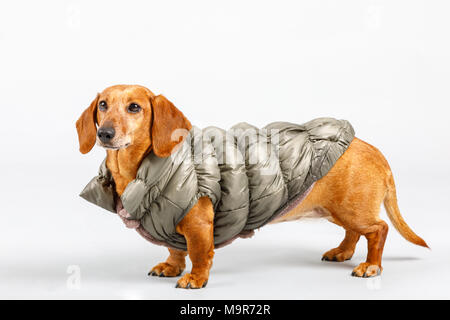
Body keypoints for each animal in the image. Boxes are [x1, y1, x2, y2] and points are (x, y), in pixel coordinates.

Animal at [75, 84, 428, 288]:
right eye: (102, 105)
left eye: (134, 107)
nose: (105, 133)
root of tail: (374, 151)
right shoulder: (169, 222)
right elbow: (175, 249)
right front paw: (171, 267)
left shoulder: (198, 222)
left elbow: (199, 252)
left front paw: (195, 279)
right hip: (337, 210)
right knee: (355, 232)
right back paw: (342, 252)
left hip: (352, 209)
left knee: (378, 230)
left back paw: (371, 266)